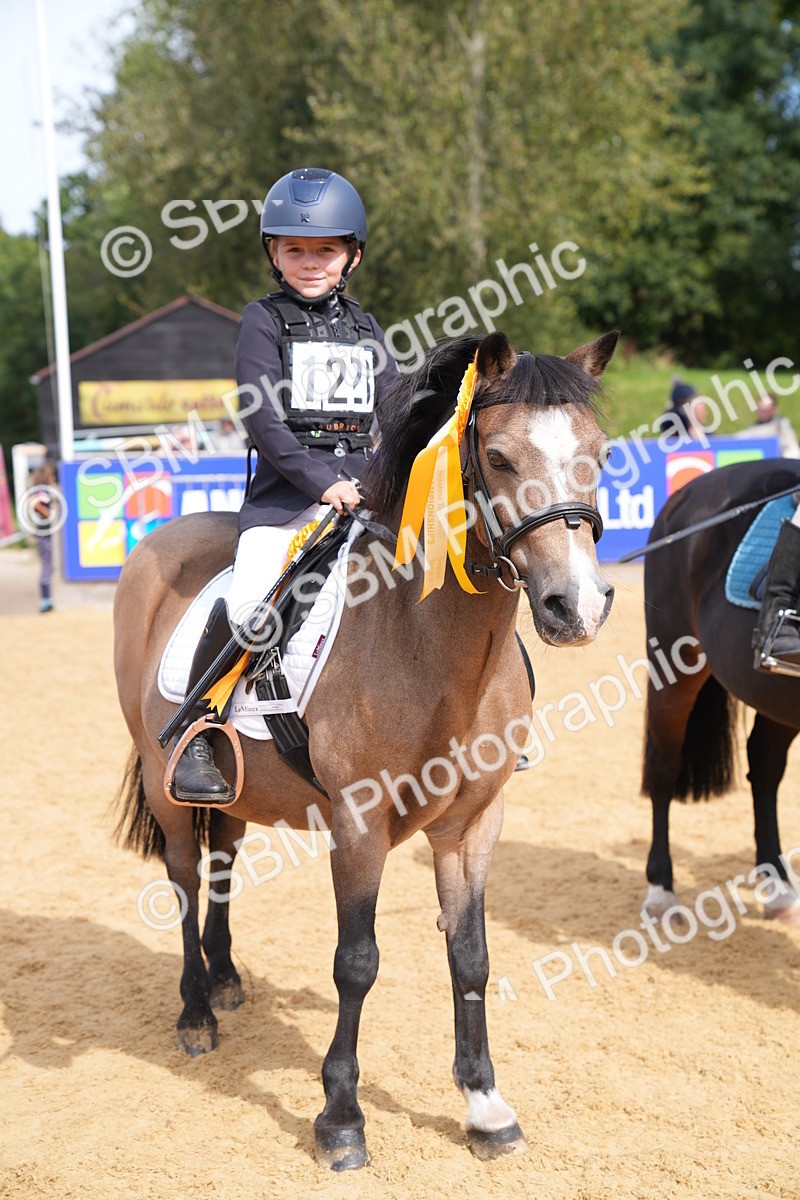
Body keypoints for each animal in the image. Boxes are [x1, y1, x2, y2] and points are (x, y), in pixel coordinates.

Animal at [113, 328, 618, 1170]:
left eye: (602, 454)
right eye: (500, 457)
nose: (574, 606)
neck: (430, 648)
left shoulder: (473, 825)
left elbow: (471, 954)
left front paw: (485, 1106)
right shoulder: (358, 827)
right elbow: (357, 964)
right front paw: (341, 1118)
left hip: (236, 789)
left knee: (224, 861)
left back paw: (225, 979)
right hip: (164, 782)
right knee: (184, 877)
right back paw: (195, 1014)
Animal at [641, 457, 800, 924]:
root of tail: (688, 492)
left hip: (775, 694)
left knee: (764, 766)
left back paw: (779, 888)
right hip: (674, 667)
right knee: (664, 767)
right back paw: (661, 892)